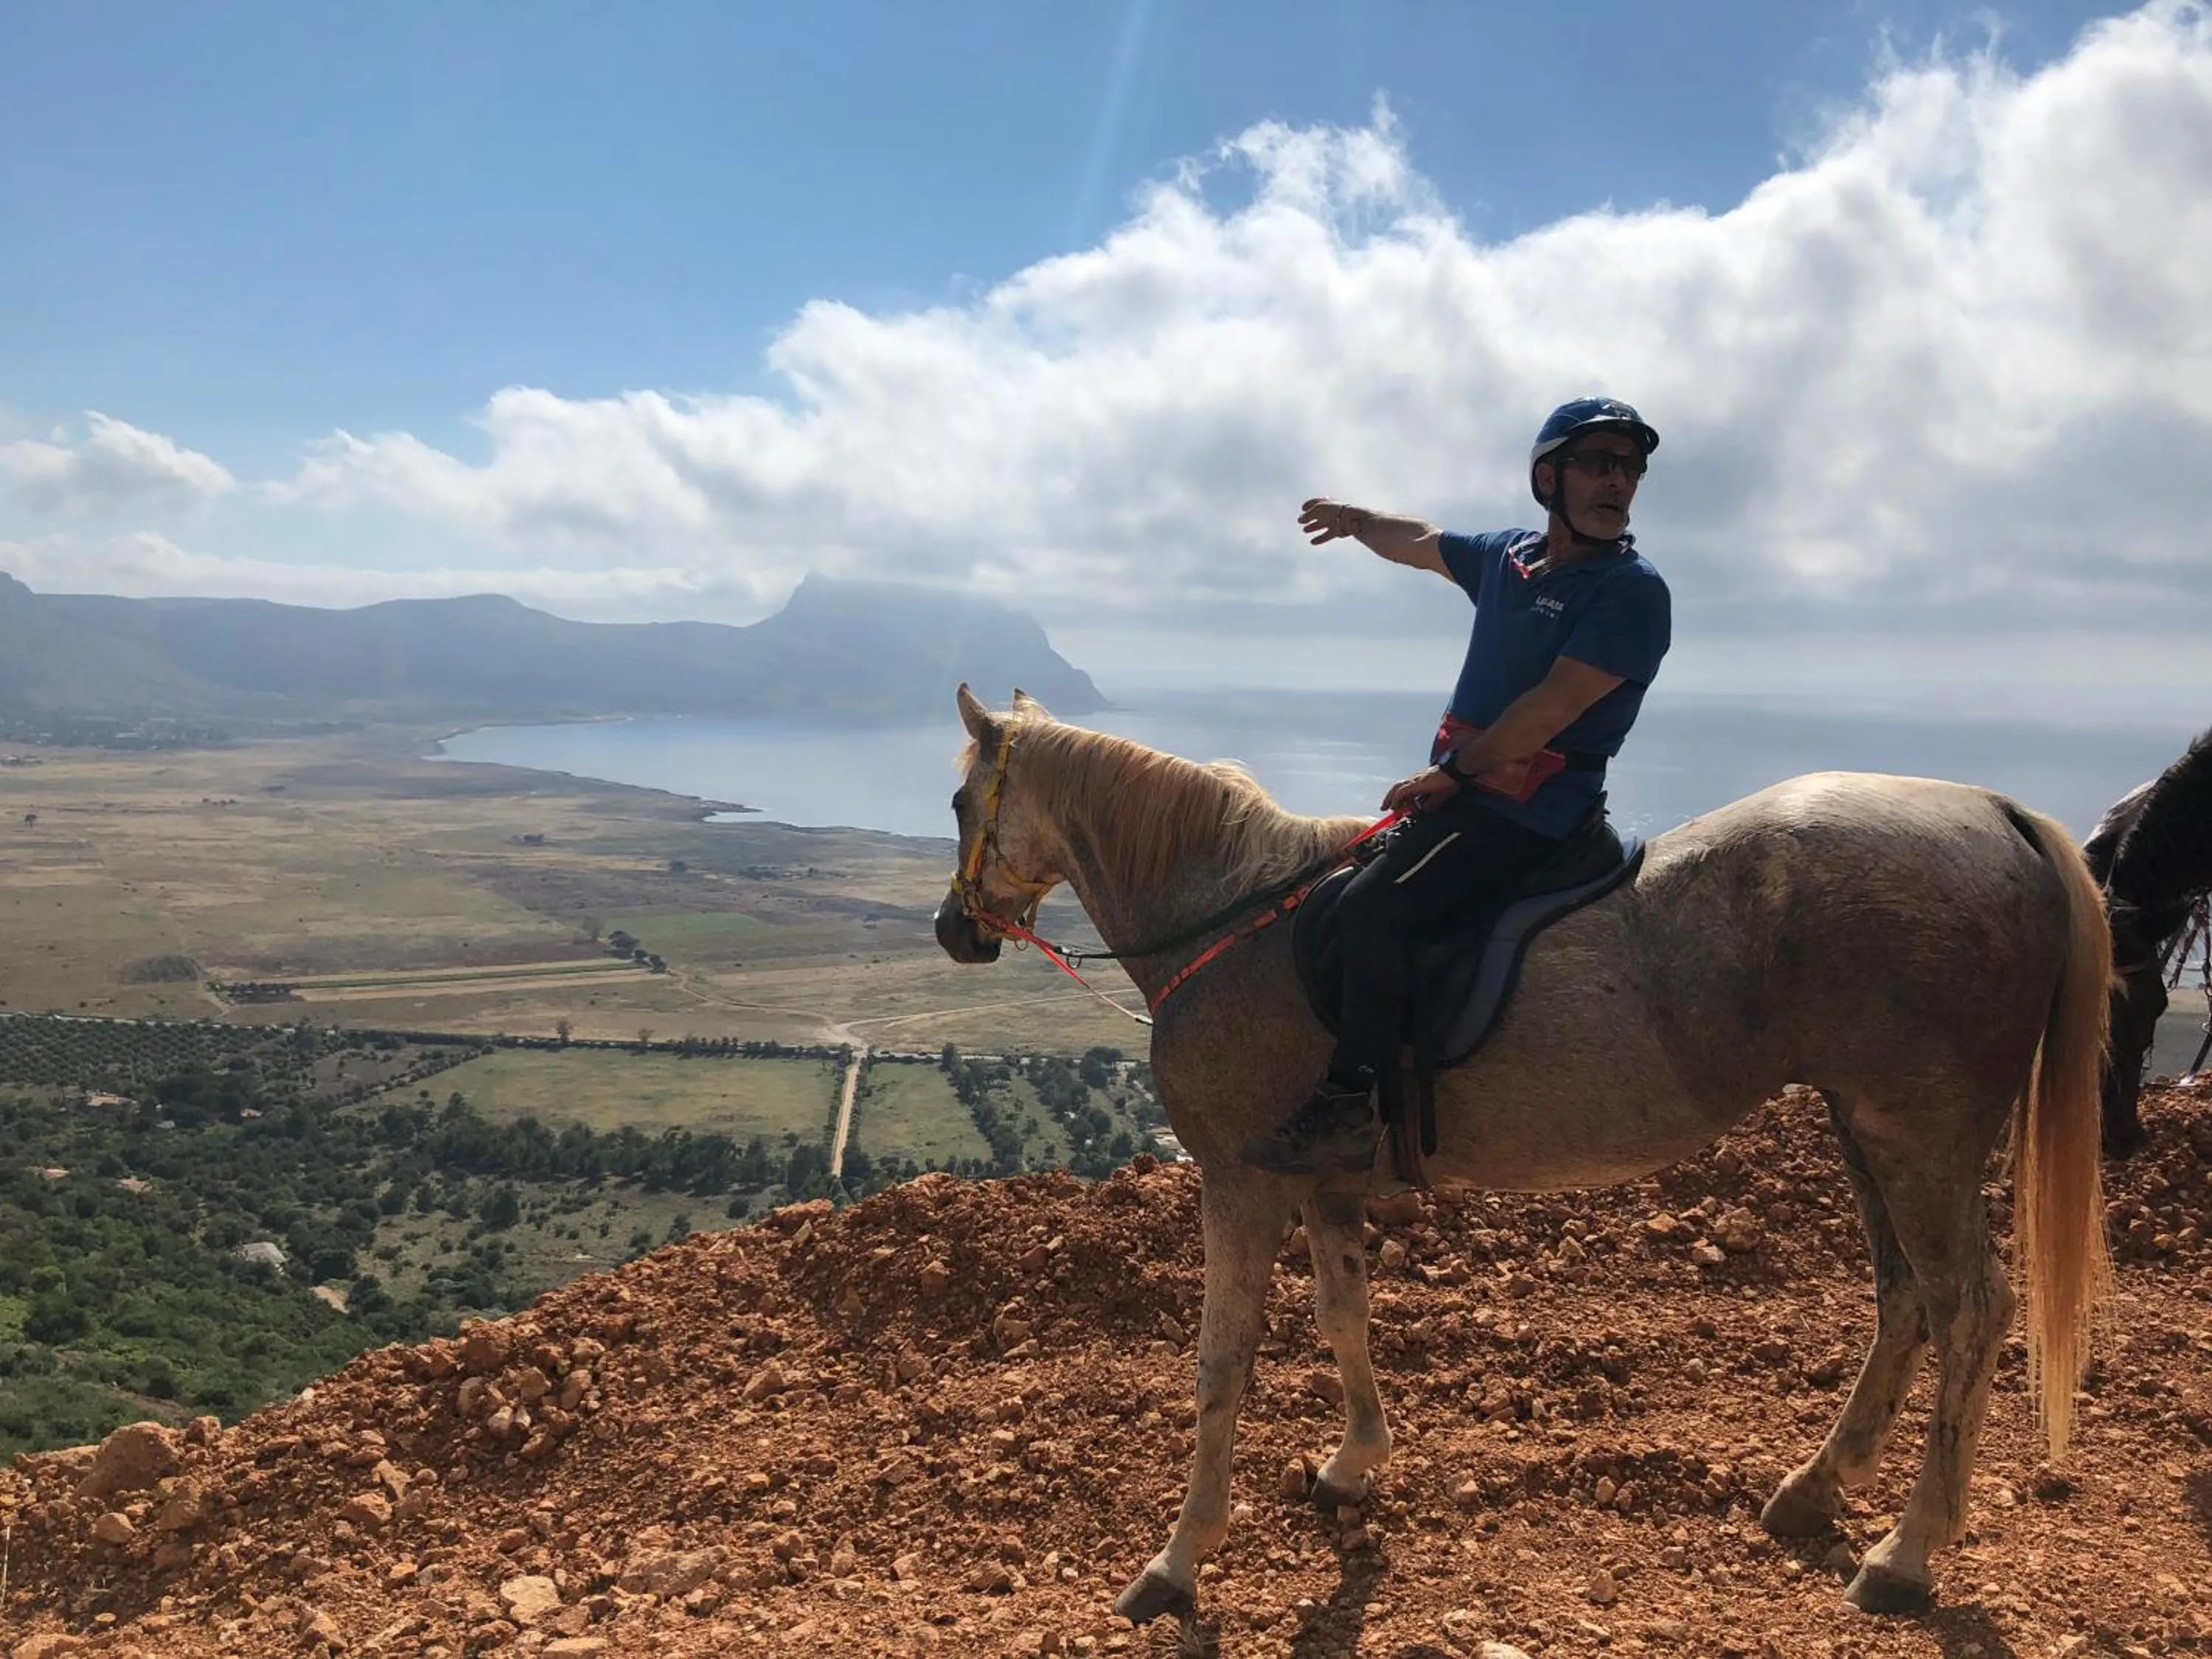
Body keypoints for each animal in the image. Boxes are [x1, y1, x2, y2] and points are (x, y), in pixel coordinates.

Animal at [932, 686, 2111, 1626]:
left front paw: (1178, 1560)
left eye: (955, 804)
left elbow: (1222, 1364)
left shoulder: (1243, 1183)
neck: (1237, 919)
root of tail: (1999, 814)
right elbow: (1343, 1315)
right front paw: (1355, 1461)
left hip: (1921, 1135)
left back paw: (1905, 1554)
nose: (954, 931)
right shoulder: (1323, 1183)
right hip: (1862, 1126)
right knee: (1904, 1297)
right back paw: (1817, 1487)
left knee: (1970, 1307)